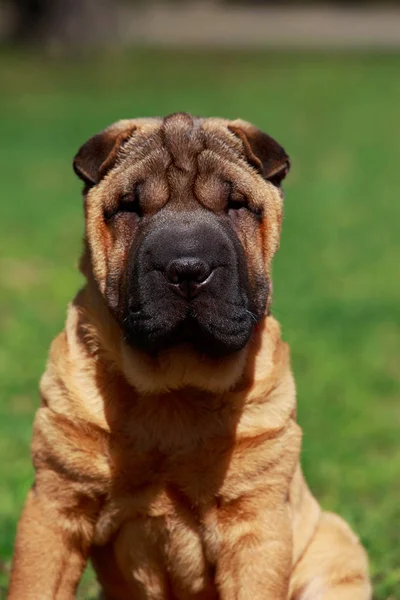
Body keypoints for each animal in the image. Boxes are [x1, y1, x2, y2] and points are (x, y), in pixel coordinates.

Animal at [8, 112, 372, 600]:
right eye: (129, 207)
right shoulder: (55, 504)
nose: (186, 269)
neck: (174, 389)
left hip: (336, 548)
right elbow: (33, 584)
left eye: (236, 205)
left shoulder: (256, 523)